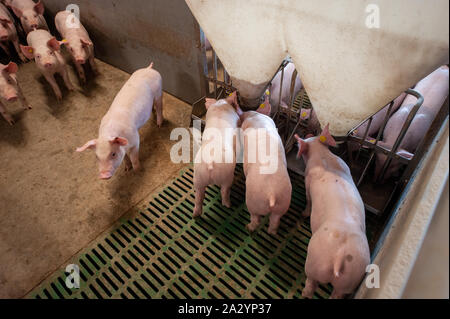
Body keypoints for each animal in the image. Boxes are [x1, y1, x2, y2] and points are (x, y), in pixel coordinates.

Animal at [193, 91, 243, 219]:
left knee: (199, 198)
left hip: (198, 178)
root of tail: (211, 163)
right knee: (224, 192)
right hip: (226, 177)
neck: (221, 106)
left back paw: (195, 215)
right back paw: (229, 205)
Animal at [241, 97, 294, 235]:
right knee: (275, 221)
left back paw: (248, 228)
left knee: (255, 219)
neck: (256, 118)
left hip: (253, 201)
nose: (244, 112)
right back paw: (272, 232)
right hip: (283, 203)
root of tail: (271, 194)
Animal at [294, 128, 370, 300]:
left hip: (315, 262)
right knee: (337, 294)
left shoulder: (308, 181)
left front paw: (304, 214)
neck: (322, 156)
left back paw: (304, 293)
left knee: (311, 283)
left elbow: (308, 200)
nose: (309, 134)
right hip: (352, 276)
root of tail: (340, 256)